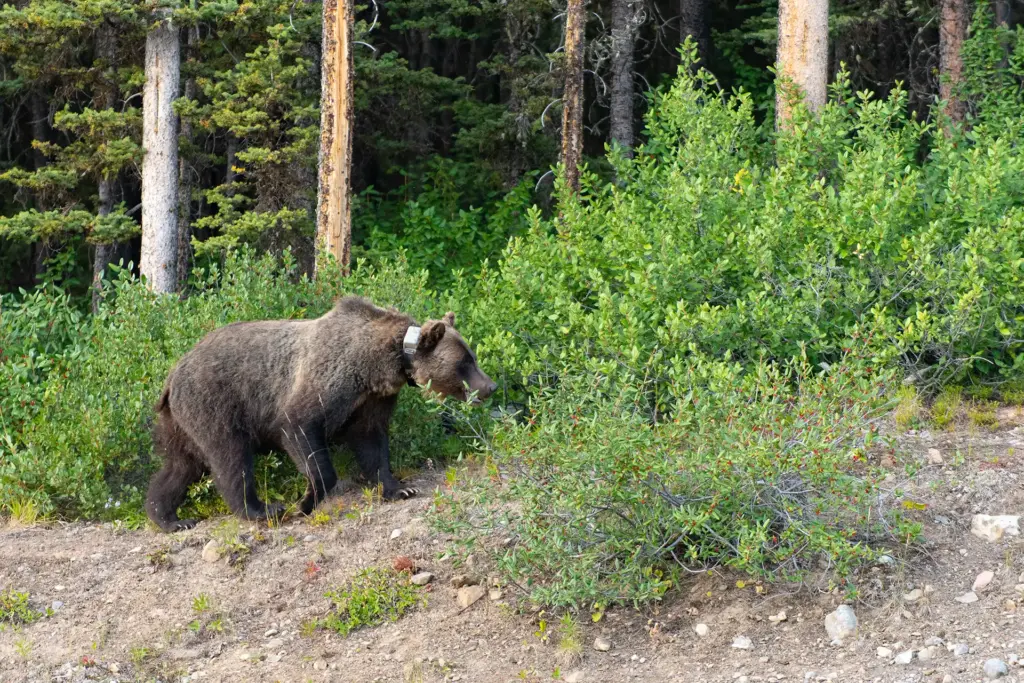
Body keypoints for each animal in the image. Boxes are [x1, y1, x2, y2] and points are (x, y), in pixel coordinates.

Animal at [145, 296, 495, 532]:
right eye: (464, 362)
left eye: (472, 356)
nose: (490, 386)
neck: (379, 364)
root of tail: (172, 374)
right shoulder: (330, 378)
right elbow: (301, 426)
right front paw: (306, 500)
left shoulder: (372, 399)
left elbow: (372, 441)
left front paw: (399, 488)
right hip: (215, 402)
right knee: (229, 456)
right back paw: (263, 509)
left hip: (181, 421)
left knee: (181, 465)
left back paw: (169, 517)